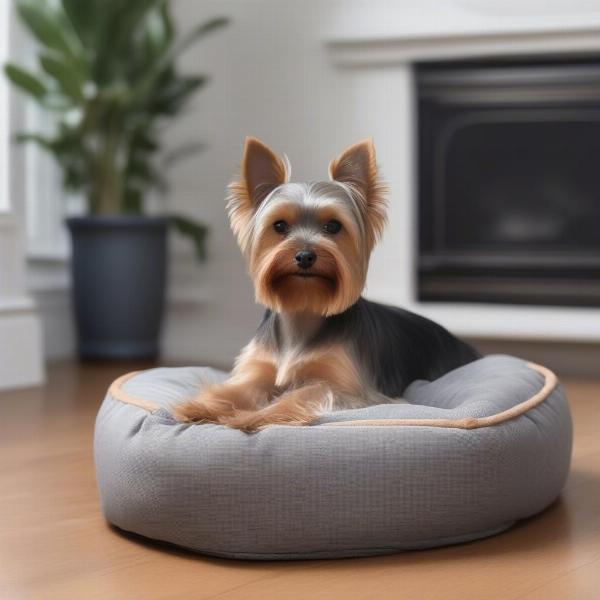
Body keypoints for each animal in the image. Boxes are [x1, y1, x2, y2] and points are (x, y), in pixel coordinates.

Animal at [172, 138, 478, 428]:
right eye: (279, 226)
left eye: (333, 226)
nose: (305, 256)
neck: (304, 307)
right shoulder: (259, 369)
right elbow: (237, 389)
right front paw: (198, 406)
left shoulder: (349, 388)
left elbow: (303, 392)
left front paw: (252, 418)